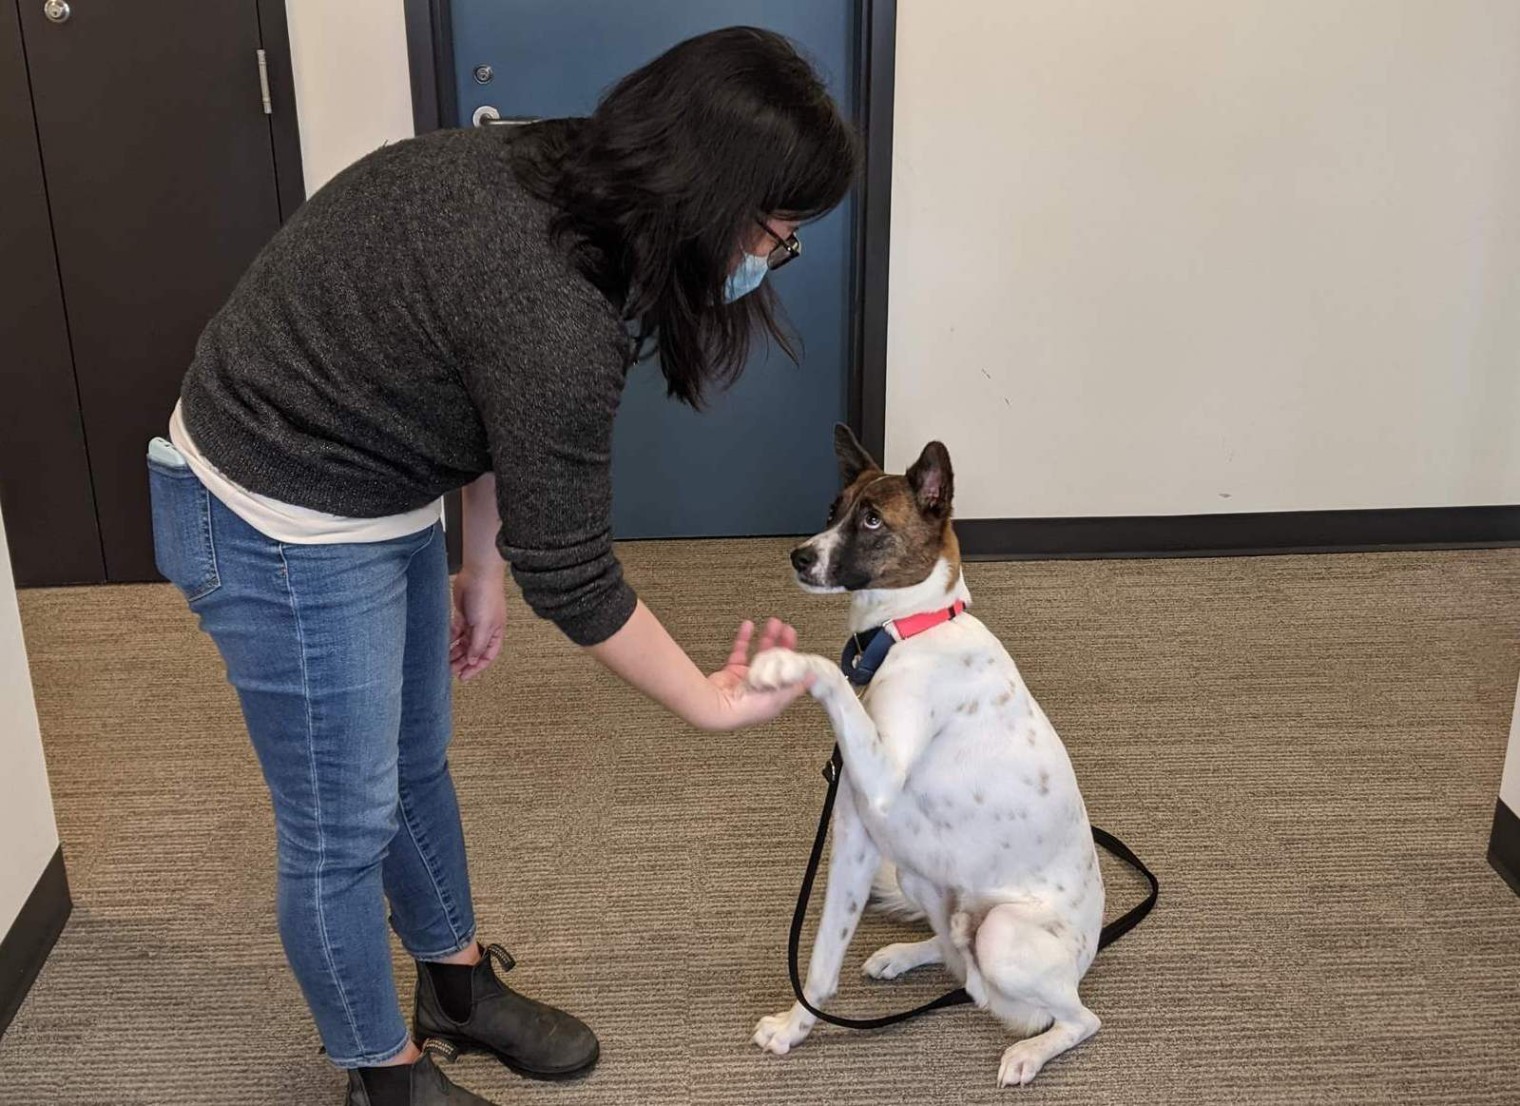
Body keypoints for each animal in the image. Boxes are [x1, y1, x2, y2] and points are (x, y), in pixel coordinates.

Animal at [747, 425, 1106, 1087]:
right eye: (831, 511)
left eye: (871, 520)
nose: (799, 556)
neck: (911, 630)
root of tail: (1088, 951)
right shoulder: (856, 840)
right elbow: (821, 962)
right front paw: (794, 1027)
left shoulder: (881, 779)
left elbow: (825, 673)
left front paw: (785, 663)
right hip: (918, 877)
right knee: (955, 959)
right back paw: (903, 955)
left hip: (1004, 934)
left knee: (1077, 1017)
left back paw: (1029, 1051)